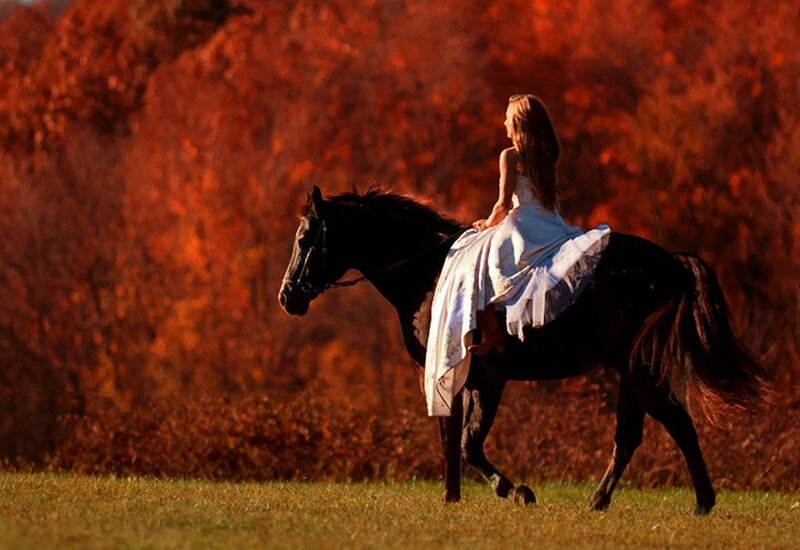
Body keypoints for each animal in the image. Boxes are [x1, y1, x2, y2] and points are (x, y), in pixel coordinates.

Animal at [278, 185, 770, 515]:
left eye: (305, 239)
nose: (288, 297)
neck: (430, 276)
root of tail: (669, 262)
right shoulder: (464, 380)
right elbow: (456, 442)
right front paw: (457, 498)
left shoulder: (481, 380)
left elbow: (466, 444)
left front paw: (514, 492)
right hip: (631, 372)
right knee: (632, 436)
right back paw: (601, 501)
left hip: (638, 372)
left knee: (675, 424)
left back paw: (701, 502)